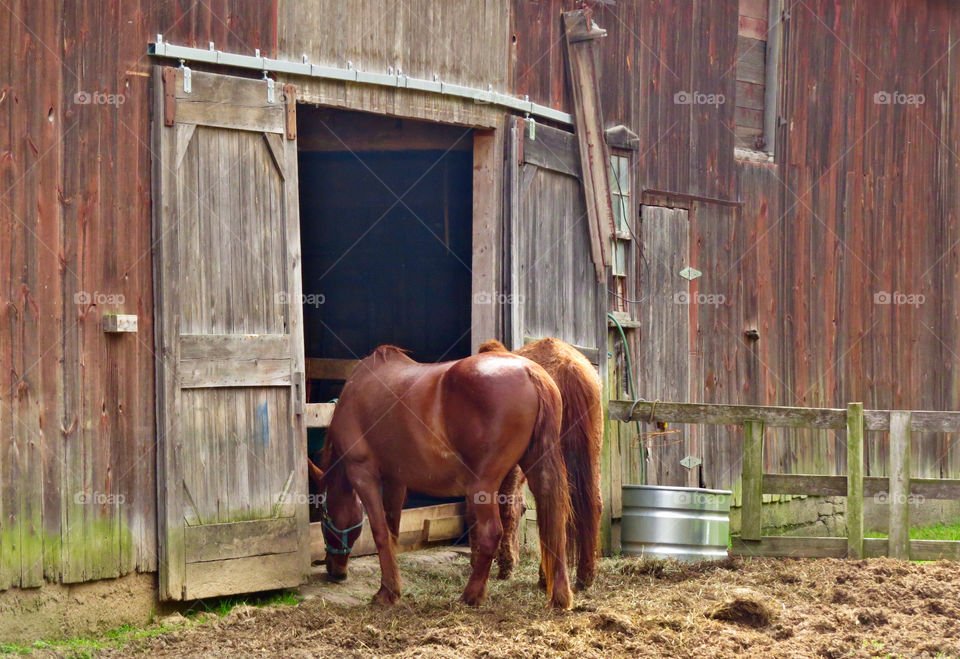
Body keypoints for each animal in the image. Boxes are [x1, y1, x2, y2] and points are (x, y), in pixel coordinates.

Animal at [309, 345, 574, 609]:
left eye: (322, 514)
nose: (334, 569)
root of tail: (529, 371)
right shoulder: (396, 479)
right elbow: (393, 529)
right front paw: (393, 587)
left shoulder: (363, 473)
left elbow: (380, 532)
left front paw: (385, 592)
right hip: (537, 469)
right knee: (556, 526)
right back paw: (561, 597)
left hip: (483, 484)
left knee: (491, 533)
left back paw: (471, 595)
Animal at [477, 338, 603, 591]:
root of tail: (569, 367)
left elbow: (505, 506)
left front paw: (505, 565)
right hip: (592, 450)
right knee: (592, 503)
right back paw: (585, 577)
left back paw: (546, 578)